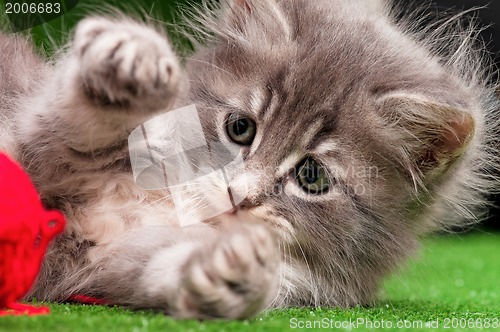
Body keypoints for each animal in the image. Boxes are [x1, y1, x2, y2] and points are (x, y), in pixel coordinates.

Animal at [0, 0, 498, 320]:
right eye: (240, 128)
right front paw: (128, 62)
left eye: (311, 176)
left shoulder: (111, 263)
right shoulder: (37, 152)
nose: (238, 195)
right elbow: (68, 127)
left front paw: (233, 271)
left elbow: (161, 270)